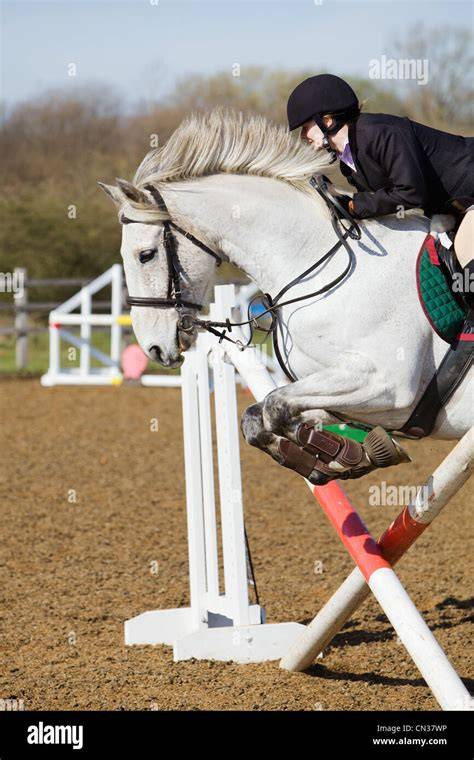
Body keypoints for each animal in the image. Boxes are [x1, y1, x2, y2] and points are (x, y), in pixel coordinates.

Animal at [99, 108, 472, 482]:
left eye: (145, 255)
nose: (153, 348)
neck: (320, 261)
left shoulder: (387, 383)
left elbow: (275, 407)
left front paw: (346, 456)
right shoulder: (338, 392)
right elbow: (259, 415)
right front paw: (349, 455)